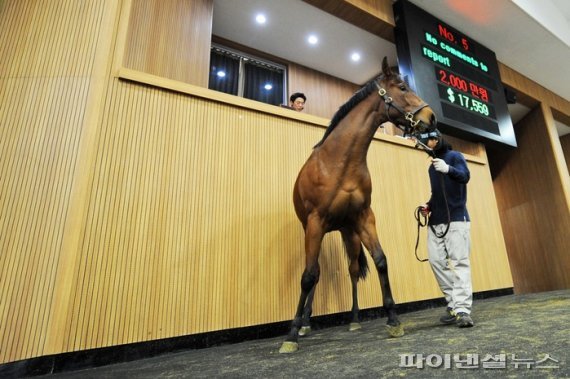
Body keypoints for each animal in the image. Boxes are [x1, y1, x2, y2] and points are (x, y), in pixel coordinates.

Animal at [280, 58, 434, 354]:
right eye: (402, 87)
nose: (431, 117)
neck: (339, 162)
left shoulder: (364, 218)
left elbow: (381, 261)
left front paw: (393, 319)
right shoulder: (315, 222)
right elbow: (307, 276)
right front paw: (291, 334)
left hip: (348, 231)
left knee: (352, 270)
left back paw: (353, 319)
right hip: (314, 230)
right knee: (315, 272)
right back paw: (305, 324)